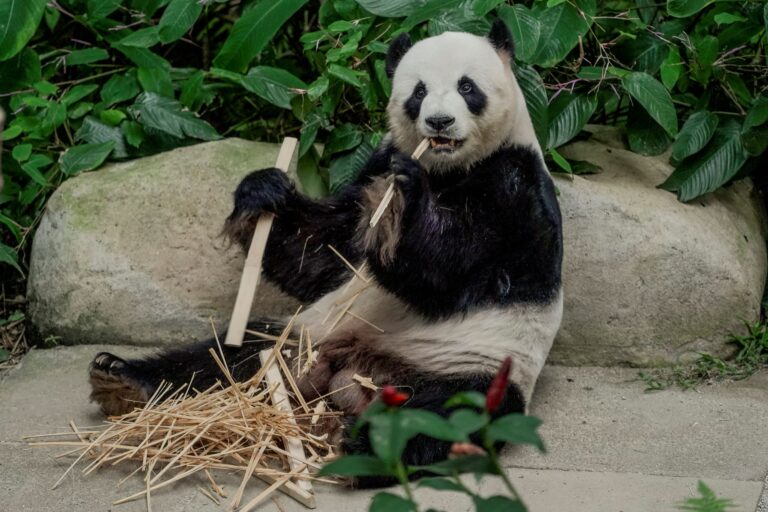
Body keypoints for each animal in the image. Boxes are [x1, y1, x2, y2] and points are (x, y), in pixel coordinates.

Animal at [88, 19, 563, 481]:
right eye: (419, 91)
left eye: (467, 87)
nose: (440, 122)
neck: (446, 169)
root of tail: (351, 376)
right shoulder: (375, 165)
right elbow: (322, 254)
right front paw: (263, 192)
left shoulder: (515, 188)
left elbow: (456, 274)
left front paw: (401, 203)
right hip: (300, 338)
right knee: (223, 356)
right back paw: (124, 382)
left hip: (471, 364)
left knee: (449, 412)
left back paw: (366, 444)